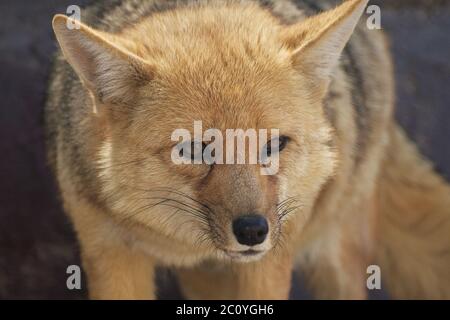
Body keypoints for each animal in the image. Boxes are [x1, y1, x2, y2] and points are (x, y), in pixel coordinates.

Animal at [44, 0, 450, 300]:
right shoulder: (111, 253)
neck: (188, 248)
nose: (253, 231)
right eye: (193, 149)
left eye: (274, 144)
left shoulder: (269, 262)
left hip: (338, 256)